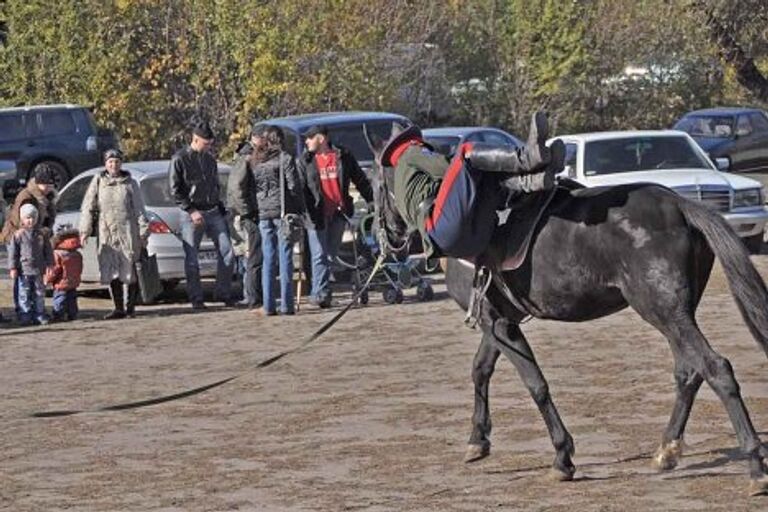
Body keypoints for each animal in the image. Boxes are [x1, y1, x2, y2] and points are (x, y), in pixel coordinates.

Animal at [364, 130, 768, 494]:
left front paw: (562, 457)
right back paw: (667, 450)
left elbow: (535, 384)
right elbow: (481, 370)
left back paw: (754, 465)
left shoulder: (496, 324)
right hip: (674, 317)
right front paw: (478, 440)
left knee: (715, 368)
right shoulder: (499, 322)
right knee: (688, 372)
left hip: (665, 312)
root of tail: (679, 205)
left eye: (375, 187)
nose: (386, 238)